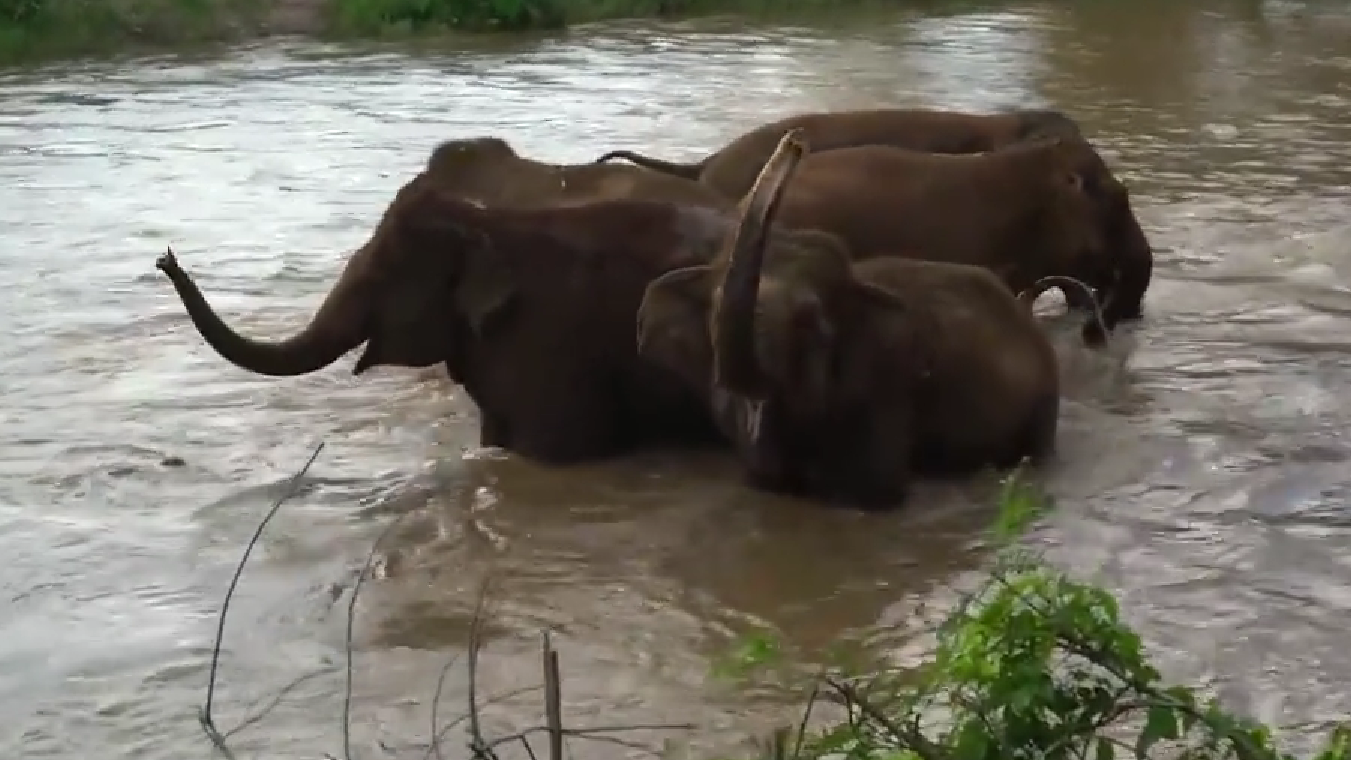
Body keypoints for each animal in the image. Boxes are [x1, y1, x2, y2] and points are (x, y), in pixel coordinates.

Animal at [635, 129, 1096, 509]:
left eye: (810, 321)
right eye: (713, 311)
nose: (795, 142)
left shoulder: (887, 389)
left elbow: (873, 493)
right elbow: (765, 479)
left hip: (1043, 400)